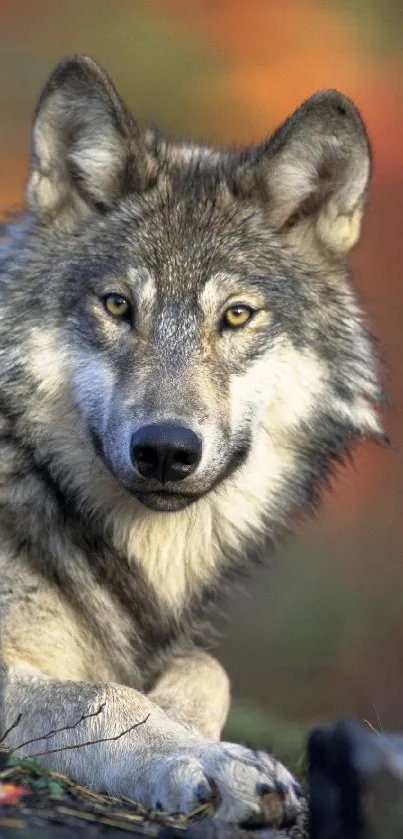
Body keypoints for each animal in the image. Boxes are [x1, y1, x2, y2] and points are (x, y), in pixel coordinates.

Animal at [0, 55, 386, 832]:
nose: (165, 450)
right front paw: (212, 763)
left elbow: (208, 668)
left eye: (235, 315)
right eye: (118, 305)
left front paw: (197, 734)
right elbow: (102, 694)